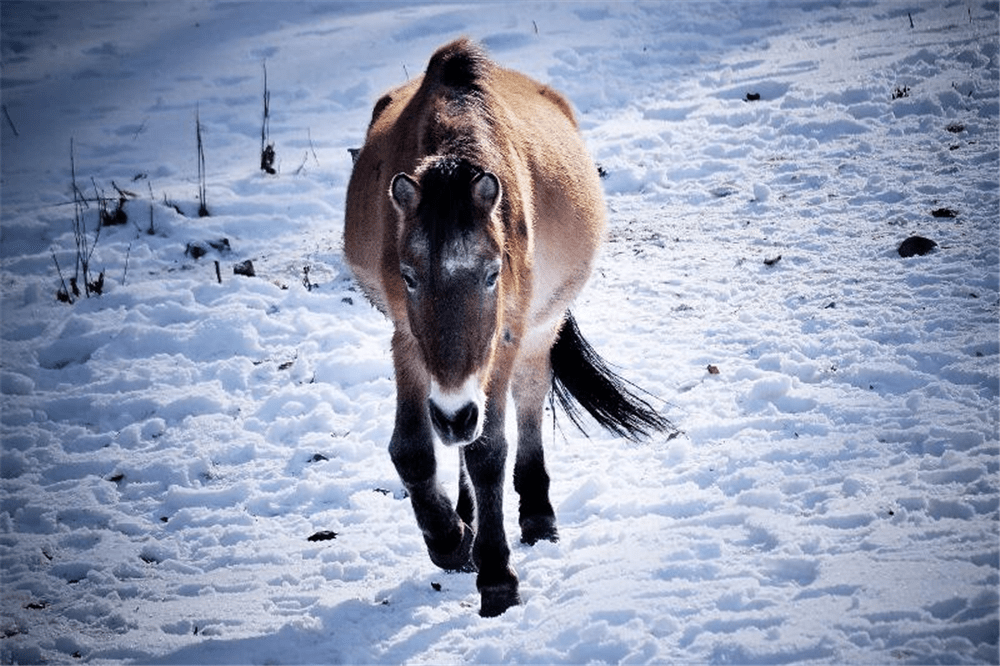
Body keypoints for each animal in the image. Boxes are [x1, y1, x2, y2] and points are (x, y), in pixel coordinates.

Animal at [342, 39, 664, 616]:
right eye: (408, 276)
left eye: (492, 273)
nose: (453, 412)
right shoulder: (407, 337)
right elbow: (413, 449)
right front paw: (450, 539)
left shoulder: (505, 337)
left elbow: (489, 450)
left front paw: (495, 576)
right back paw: (465, 514)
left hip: (539, 330)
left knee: (528, 401)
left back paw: (537, 514)